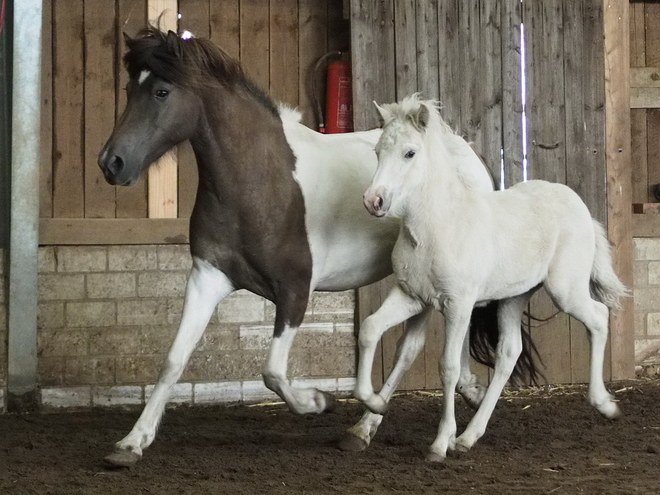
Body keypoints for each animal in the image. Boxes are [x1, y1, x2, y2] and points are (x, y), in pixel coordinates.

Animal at [96, 28, 532, 468]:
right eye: (130, 89)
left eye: (162, 92)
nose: (111, 163)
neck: (262, 182)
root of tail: (470, 156)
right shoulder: (207, 277)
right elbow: (174, 359)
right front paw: (131, 442)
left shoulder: (295, 290)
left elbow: (272, 371)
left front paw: (318, 402)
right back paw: (430, 404)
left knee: (411, 348)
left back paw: (375, 421)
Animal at [358, 95, 628, 464]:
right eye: (377, 151)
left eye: (410, 153)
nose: (374, 200)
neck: (436, 228)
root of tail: (580, 207)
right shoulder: (409, 295)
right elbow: (370, 328)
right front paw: (373, 405)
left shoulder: (458, 305)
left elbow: (449, 367)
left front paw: (438, 445)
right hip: (514, 297)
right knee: (509, 352)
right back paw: (468, 437)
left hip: (565, 290)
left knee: (599, 317)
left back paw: (605, 404)